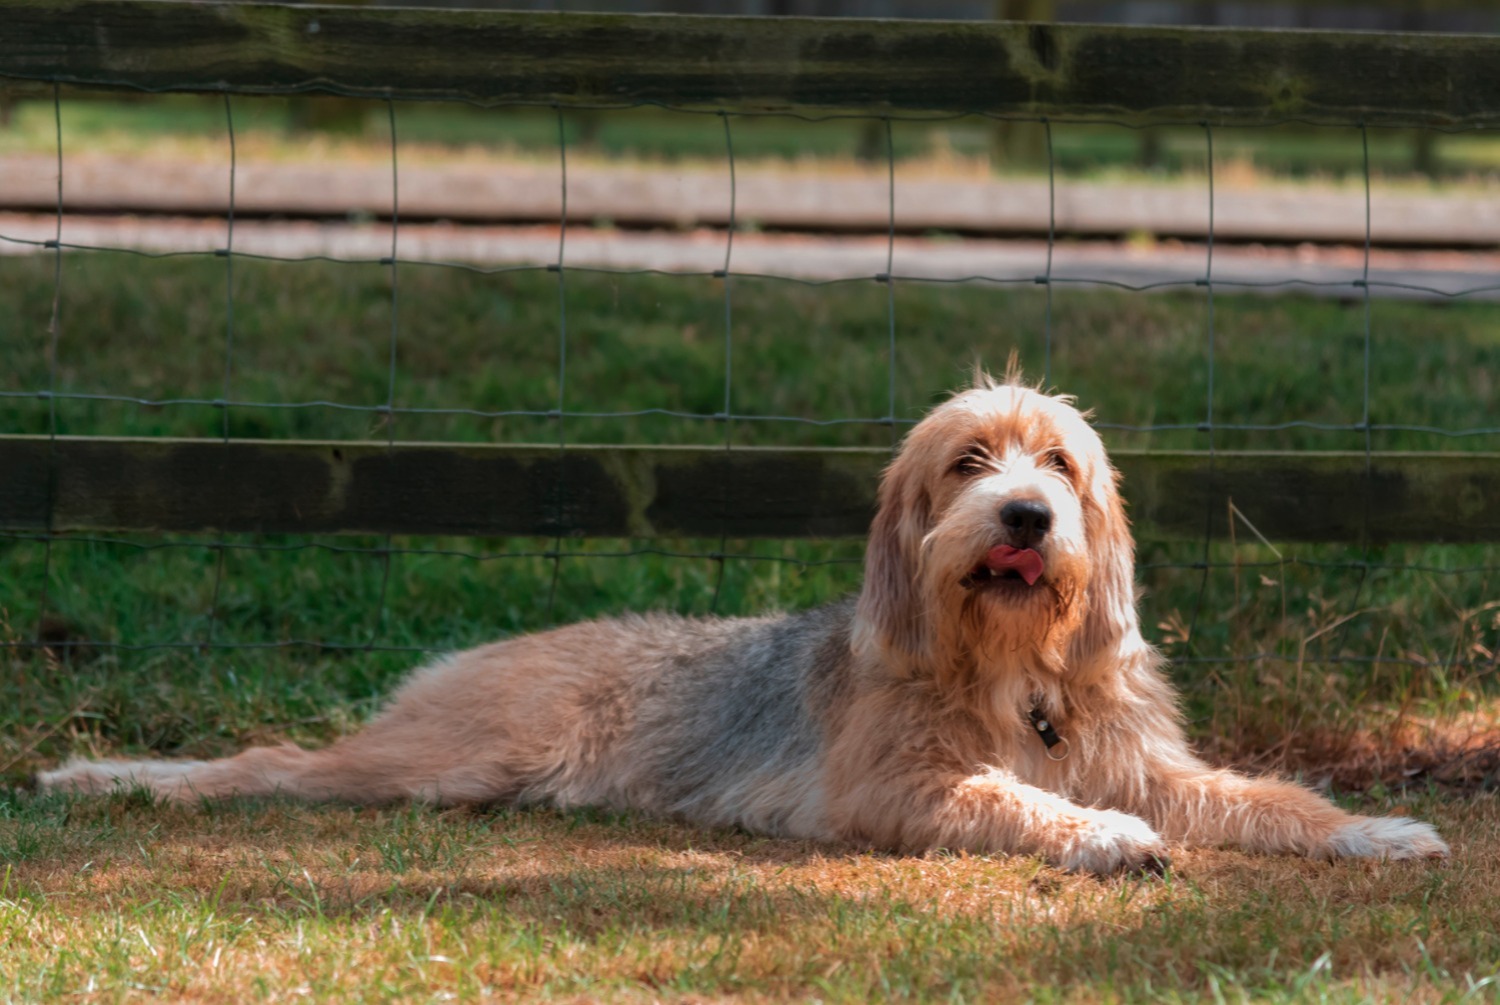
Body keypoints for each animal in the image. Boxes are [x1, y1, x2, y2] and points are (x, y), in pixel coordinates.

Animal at [38, 373, 1440, 876]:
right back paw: (105, 779)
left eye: (1059, 462)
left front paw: (1371, 828)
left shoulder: (1152, 763)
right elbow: (1016, 798)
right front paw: (1099, 836)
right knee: (270, 762)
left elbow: (1263, 796)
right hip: (441, 758)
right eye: (969, 461)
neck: (1013, 674)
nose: (1027, 516)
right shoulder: (901, 789)